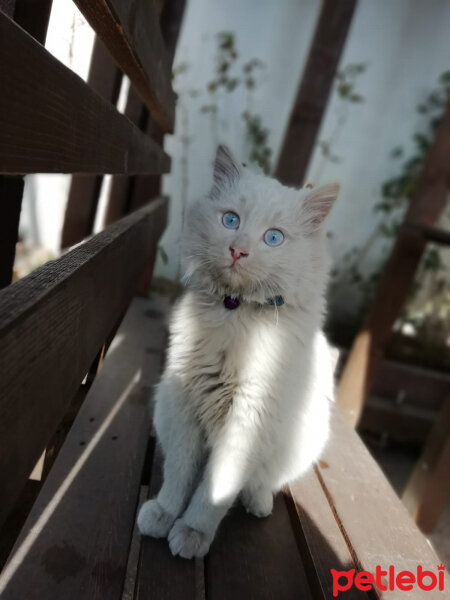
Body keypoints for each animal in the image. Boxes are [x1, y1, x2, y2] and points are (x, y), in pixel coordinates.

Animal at [137, 145, 338, 556]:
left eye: (274, 238)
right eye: (231, 219)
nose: (238, 250)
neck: (236, 311)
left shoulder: (248, 418)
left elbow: (215, 489)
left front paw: (192, 533)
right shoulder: (185, 406)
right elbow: (180, 474)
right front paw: (164, 514)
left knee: (260, 482)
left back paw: (257, 503)